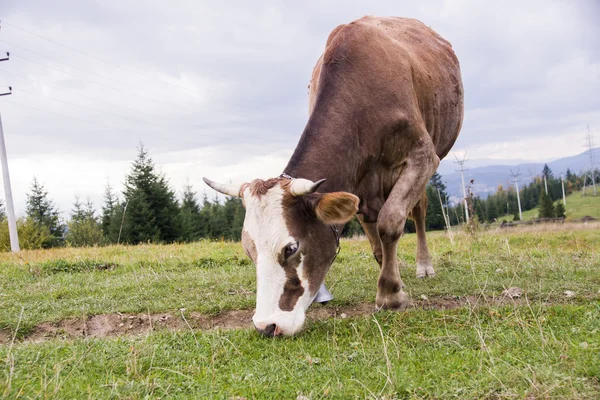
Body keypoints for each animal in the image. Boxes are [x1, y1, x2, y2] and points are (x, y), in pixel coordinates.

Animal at [205, 15, 464, 336]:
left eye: (291, 247)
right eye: (249, 250)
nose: (267, 326)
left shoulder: (423, 155)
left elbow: (391, 221)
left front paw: (391, 294)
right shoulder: (359, 185)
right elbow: (377, 242)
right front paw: (390, 277)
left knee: (419, 211)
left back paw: (424, 266)